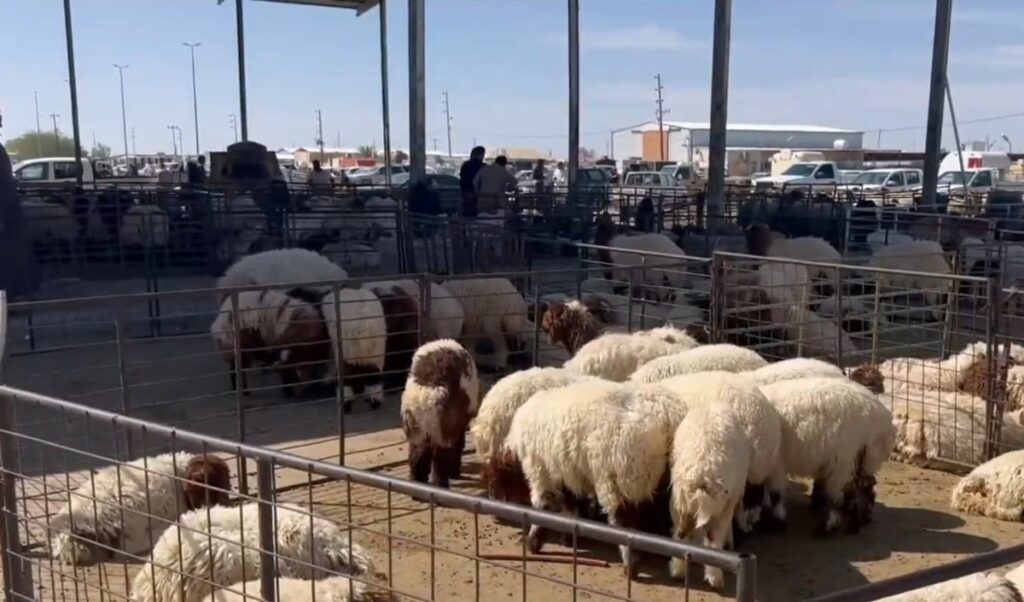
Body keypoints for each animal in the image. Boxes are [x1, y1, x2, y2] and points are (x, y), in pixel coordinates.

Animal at [400, 339, 480, 488]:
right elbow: (458, 447)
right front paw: (455, 472)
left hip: (417, 429)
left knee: (417, 455)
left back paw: (417, 483)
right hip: (442, 431)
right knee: (440, 458)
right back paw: (441, 484)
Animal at [667, 401, 751, 589]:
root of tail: (702, 470)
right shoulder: (732, 498)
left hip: (680, 500)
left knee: (681, 533)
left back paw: (677, 571)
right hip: (720, 503)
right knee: (714, 538)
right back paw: (715, 577)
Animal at [760, 377, 895, 535]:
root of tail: (885, 423)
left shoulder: (775, 463)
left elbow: (775, 495)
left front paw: (777, 523)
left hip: (845, 461)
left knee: (842, 497)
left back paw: (827, 528)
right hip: (863, 460)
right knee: (865, 489)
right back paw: (856, 524)